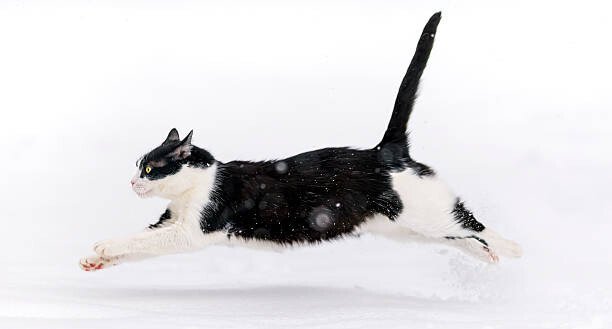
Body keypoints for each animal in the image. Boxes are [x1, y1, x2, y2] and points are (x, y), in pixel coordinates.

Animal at [80, 11, 520, 270]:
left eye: (150, 168)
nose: (132, 182)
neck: (194, 187)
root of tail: (386, 151)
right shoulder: (170, 223)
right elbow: (143, 241)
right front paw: (96, 259)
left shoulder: (191, 231)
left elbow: (144, 241)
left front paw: (104, 245)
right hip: (405, 226)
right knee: (462, 236)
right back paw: (491, 256)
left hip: (425, 210)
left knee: (472, 222)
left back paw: (512, 247)